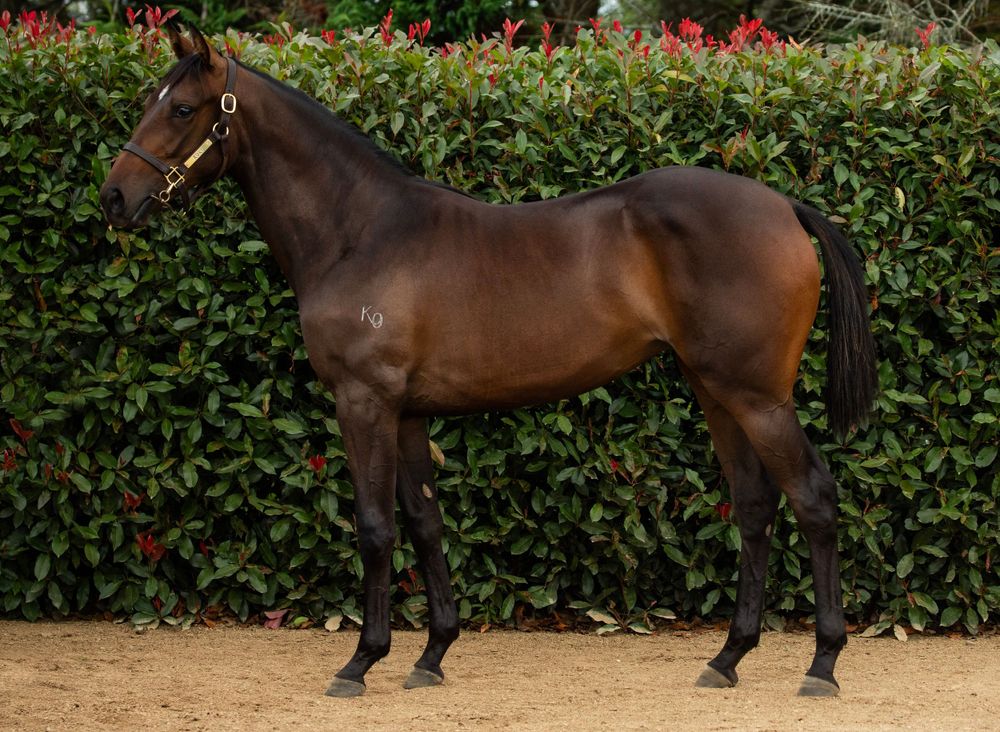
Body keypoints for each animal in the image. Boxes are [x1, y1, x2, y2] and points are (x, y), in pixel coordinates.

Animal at [100, 26, 877, 698]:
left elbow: (375, 527)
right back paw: (727, 657)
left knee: (813, 497)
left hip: (758, 398)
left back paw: (823, 663)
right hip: (718, 393)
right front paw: (432, 653)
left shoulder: (363, 400)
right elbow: (424, 521)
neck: (360, 232)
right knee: (755, 506)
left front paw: (361, 662)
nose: (114, 198)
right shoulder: (407, 412)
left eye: (181, 107)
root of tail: (784, 207)